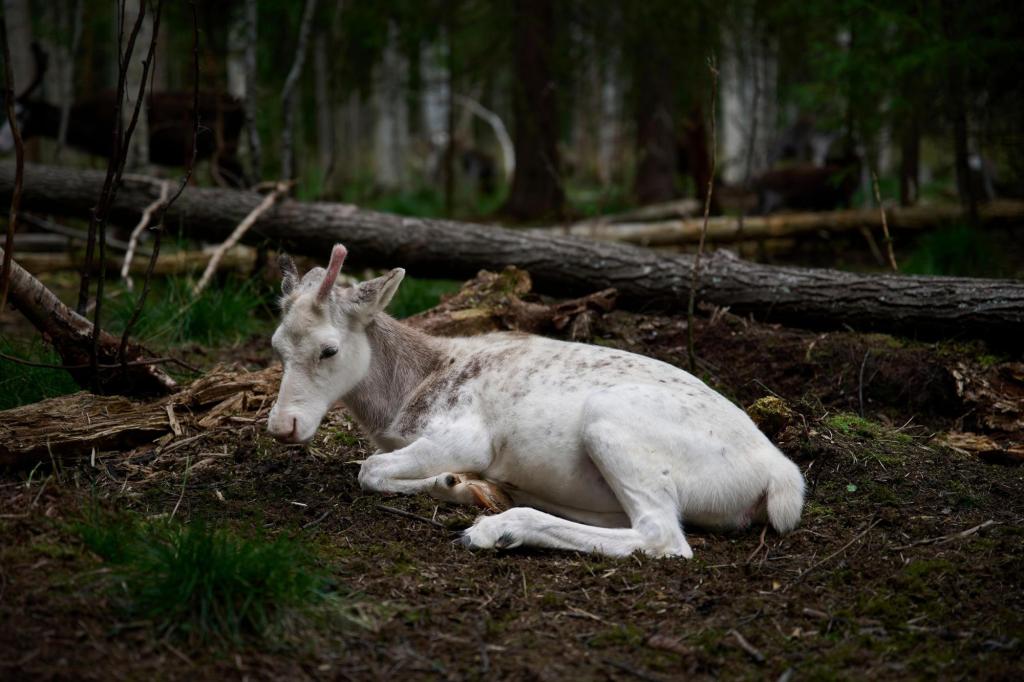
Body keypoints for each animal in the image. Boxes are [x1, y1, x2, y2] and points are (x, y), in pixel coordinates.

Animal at [266, 245, 805, 558]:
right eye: (276, 345)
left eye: (329, 349)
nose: (282, 425)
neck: (402, 402)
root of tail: (781, 475)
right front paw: (463, 485)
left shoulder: (466, 435)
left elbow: (368, 469)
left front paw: (466, 488)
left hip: (611, 425)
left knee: (662, 536)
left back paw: (496, 528)